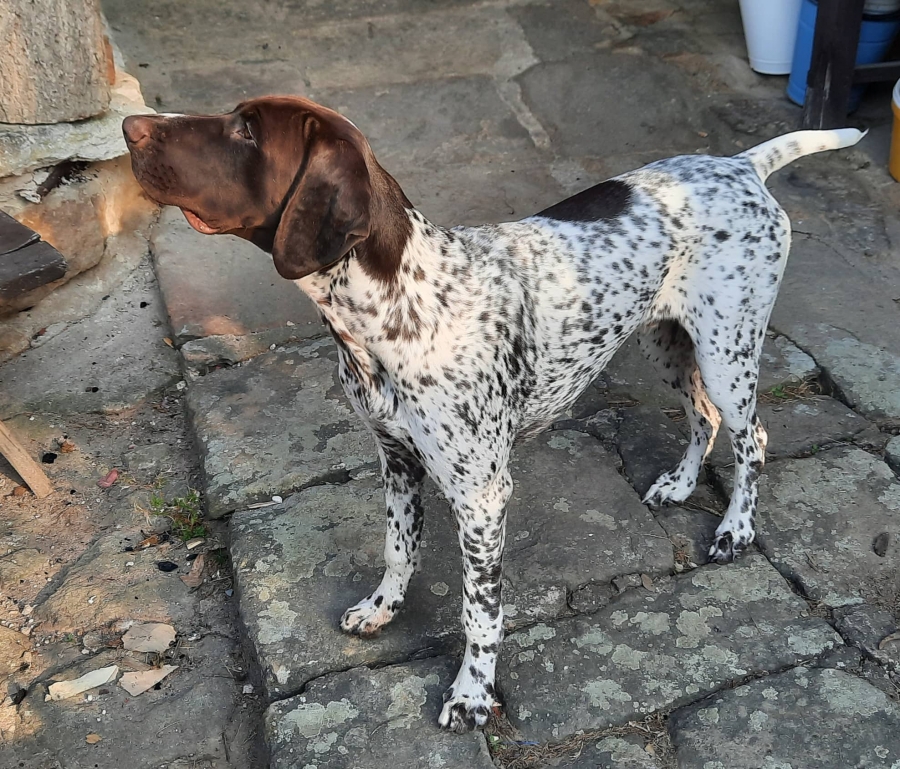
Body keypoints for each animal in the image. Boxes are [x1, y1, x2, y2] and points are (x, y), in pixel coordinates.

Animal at [123, 96, 863, 732]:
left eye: (246, 131)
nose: (130, 126)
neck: (399, 307)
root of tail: (741, 164)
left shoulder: (481, 495)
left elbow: (479, 611)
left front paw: (473, 695)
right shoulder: (397, 458)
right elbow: (398, 547)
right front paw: (382, 609)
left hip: (726, 349)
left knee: (751, 436)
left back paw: (736, 528)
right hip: (668, 340)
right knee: (702, 419)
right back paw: (680, 486)